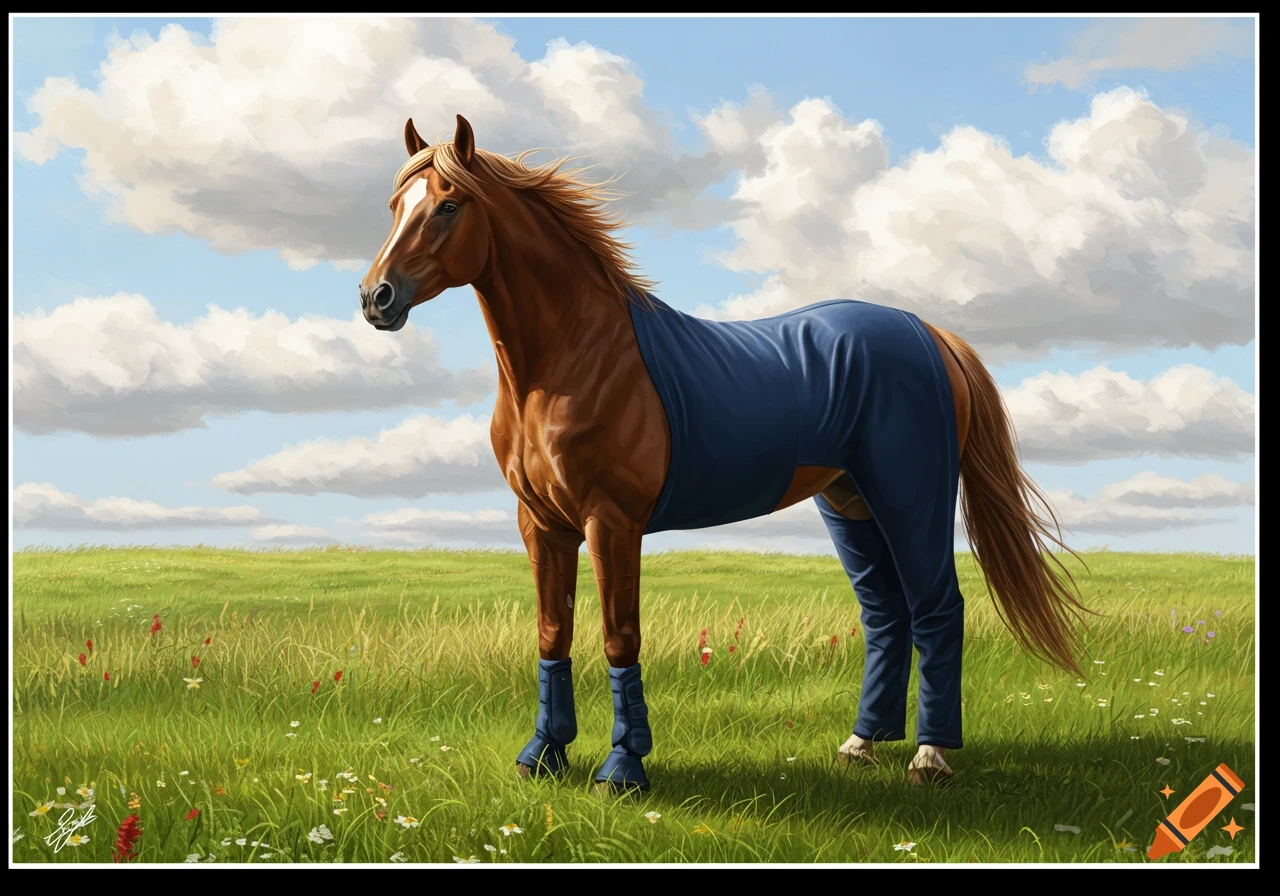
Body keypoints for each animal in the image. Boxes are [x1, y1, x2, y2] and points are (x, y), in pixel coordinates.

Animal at [358, 114, 1091, 791]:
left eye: (449, 204)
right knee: (886, 613)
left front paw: (623, 768)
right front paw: (542, 755)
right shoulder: (542, 524)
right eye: (395, 205)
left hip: (913, 498)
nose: (375, 298)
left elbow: (619, 635)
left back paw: (930, 756)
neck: (571, 358)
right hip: (850, 503)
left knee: (938, 609)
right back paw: (859, 746)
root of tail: (929, 333)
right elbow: (552, 632)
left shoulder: (611, 521)